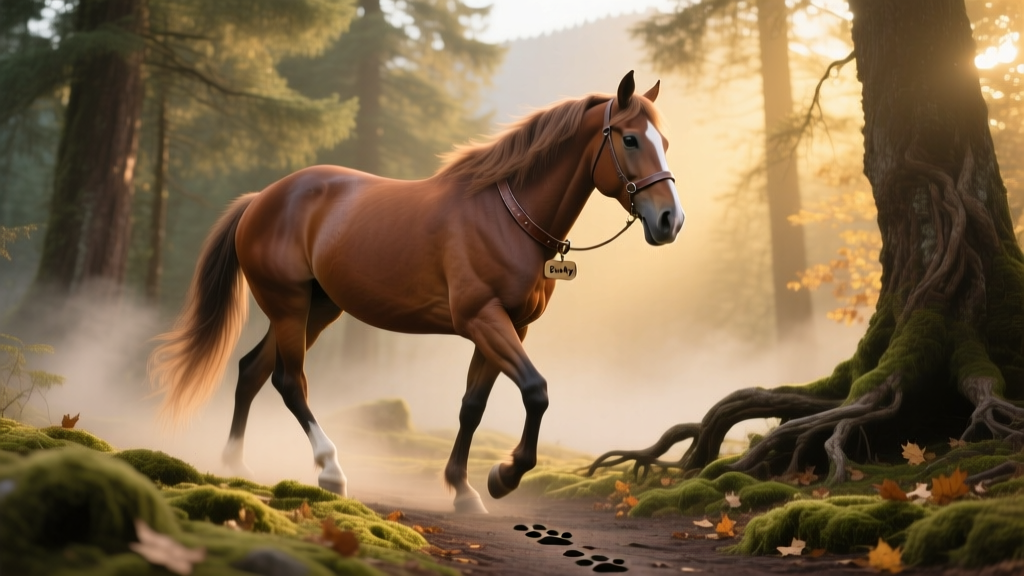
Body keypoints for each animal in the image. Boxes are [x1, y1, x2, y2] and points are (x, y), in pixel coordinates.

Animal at [148, 71, 684, 513]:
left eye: (664, 141)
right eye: (630, 139)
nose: (669, 220)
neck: (505, 218)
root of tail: (262, 198)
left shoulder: (510, 327)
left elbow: (472, 406)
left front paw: (463, 488)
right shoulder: (482, 319)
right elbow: (536, 391)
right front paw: (504, 476)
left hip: (318, 309)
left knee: (252, 371)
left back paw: (234, 464)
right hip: (288, 305)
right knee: (288, 382)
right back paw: (330, 470)